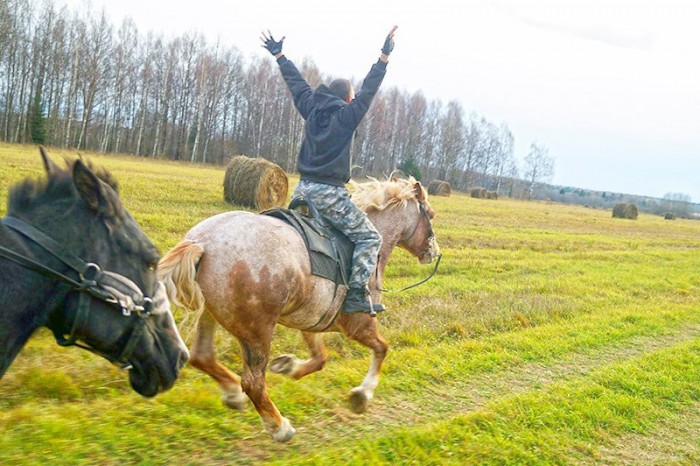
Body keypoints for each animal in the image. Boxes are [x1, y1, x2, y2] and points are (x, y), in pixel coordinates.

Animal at [161, 177, 440, 442]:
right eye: (430, 214)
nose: (433, 252)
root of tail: (201, 242)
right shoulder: (359, 325)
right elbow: (382, 349)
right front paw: (362, 395)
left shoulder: (311, 319)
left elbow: (320, 358)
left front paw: (288, 366)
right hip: (256, 330)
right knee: (252, 382)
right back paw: (279, 427)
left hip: (210, 313)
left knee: (202, 356)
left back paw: (233, 394)